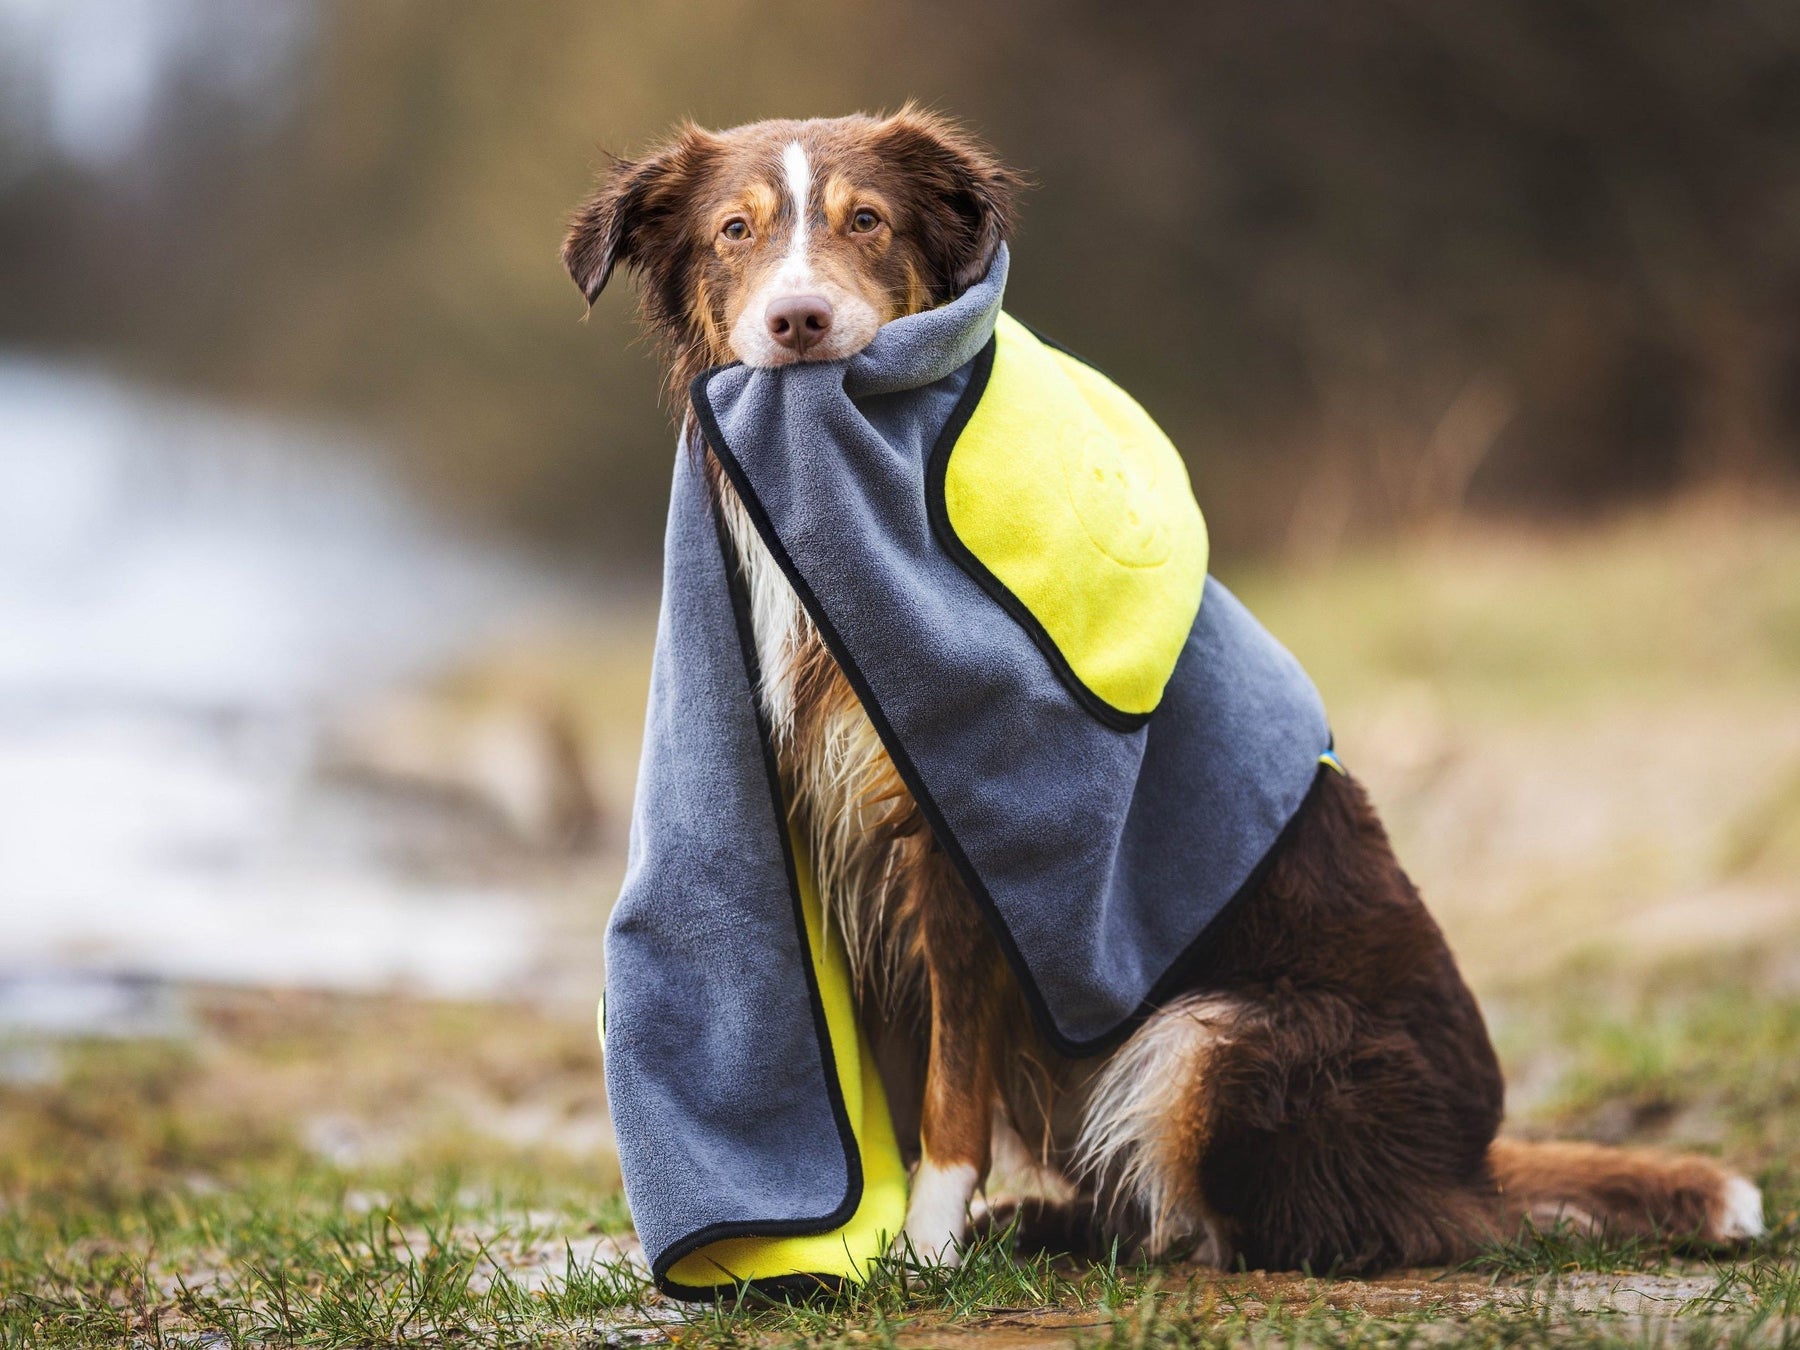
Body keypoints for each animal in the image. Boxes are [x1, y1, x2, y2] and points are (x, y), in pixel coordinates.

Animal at [565, 111, 1771, 1274]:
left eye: (868, 221)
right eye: (735, 231)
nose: (799, 320)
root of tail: (1465, 1166)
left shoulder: (955, 850)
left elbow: (952, 1085)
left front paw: (928, 1240)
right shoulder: (824, 838)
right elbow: (896, 1088)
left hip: (1211, 1039)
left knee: (1249, 1229)